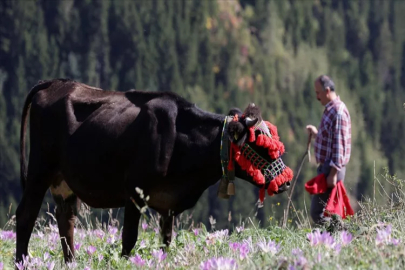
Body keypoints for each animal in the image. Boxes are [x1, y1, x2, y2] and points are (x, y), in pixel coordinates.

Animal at [15, 78, 288, 264]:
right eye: (259, 143)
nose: (285, 181)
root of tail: (55, 83)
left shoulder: (168, 203)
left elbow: (166, 241)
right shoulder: (135, 192)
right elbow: (129, 238)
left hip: (63, 181)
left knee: (66, 218)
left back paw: (71, 262)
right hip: (40, 169)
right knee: (26, 214)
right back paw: (21, 262)